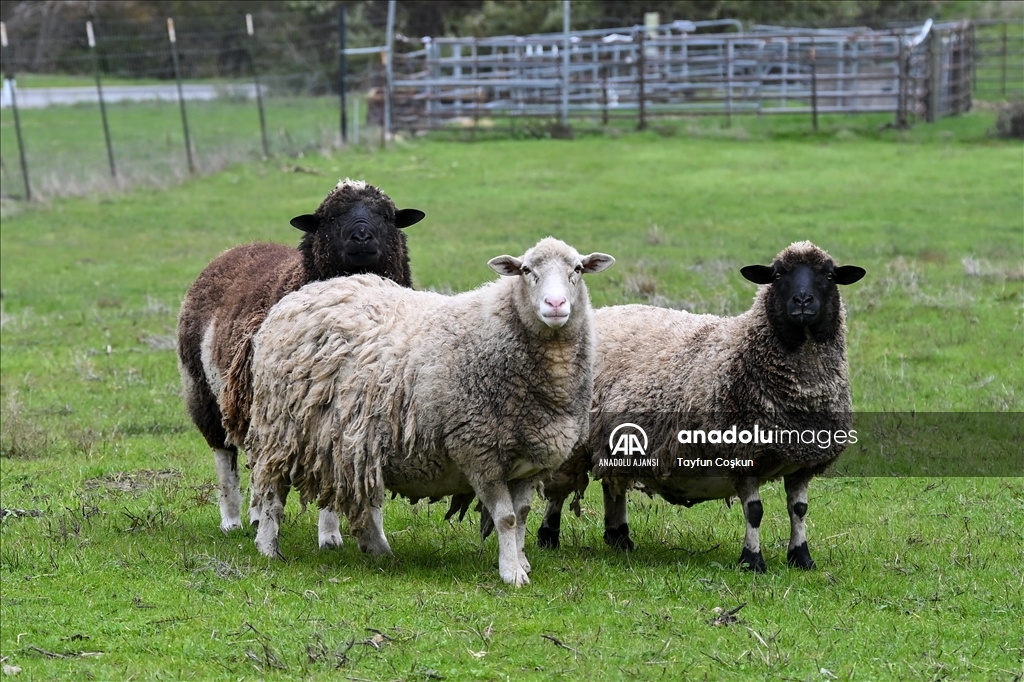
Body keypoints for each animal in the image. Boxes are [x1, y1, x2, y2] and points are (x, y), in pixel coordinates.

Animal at [176, 179, 423, 532]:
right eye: (331, 217)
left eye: (387, 216)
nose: (362, 237)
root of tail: (239, 248)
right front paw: (330, 534)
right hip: (204, 389)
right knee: (225, 454)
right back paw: (232, 520)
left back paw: (256, 515)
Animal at [245, 237, 614, 585]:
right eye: (526, 270)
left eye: (578, 269)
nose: (556, 305)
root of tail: (302, 295)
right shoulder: (479, 451)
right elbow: (506, 518)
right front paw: (512, 573)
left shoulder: (529, 462)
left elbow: (521, 516)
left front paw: (520, 562)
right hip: (281, 430)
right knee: (270, 489)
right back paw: (267, 546)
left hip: (353, 441)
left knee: (363, 495)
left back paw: (378, 549)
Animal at [536, 238, 864, 569]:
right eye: (778, 275)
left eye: (829, 275)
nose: (803, 301)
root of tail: (600, 314)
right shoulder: (741, 454)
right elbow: (755, 511)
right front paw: (752, 560)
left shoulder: (803, 462)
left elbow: (799, 510)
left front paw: (802, 558)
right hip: (574, 442)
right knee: (558, 491)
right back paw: (549, 536)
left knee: (613, 483)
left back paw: (619, 537)